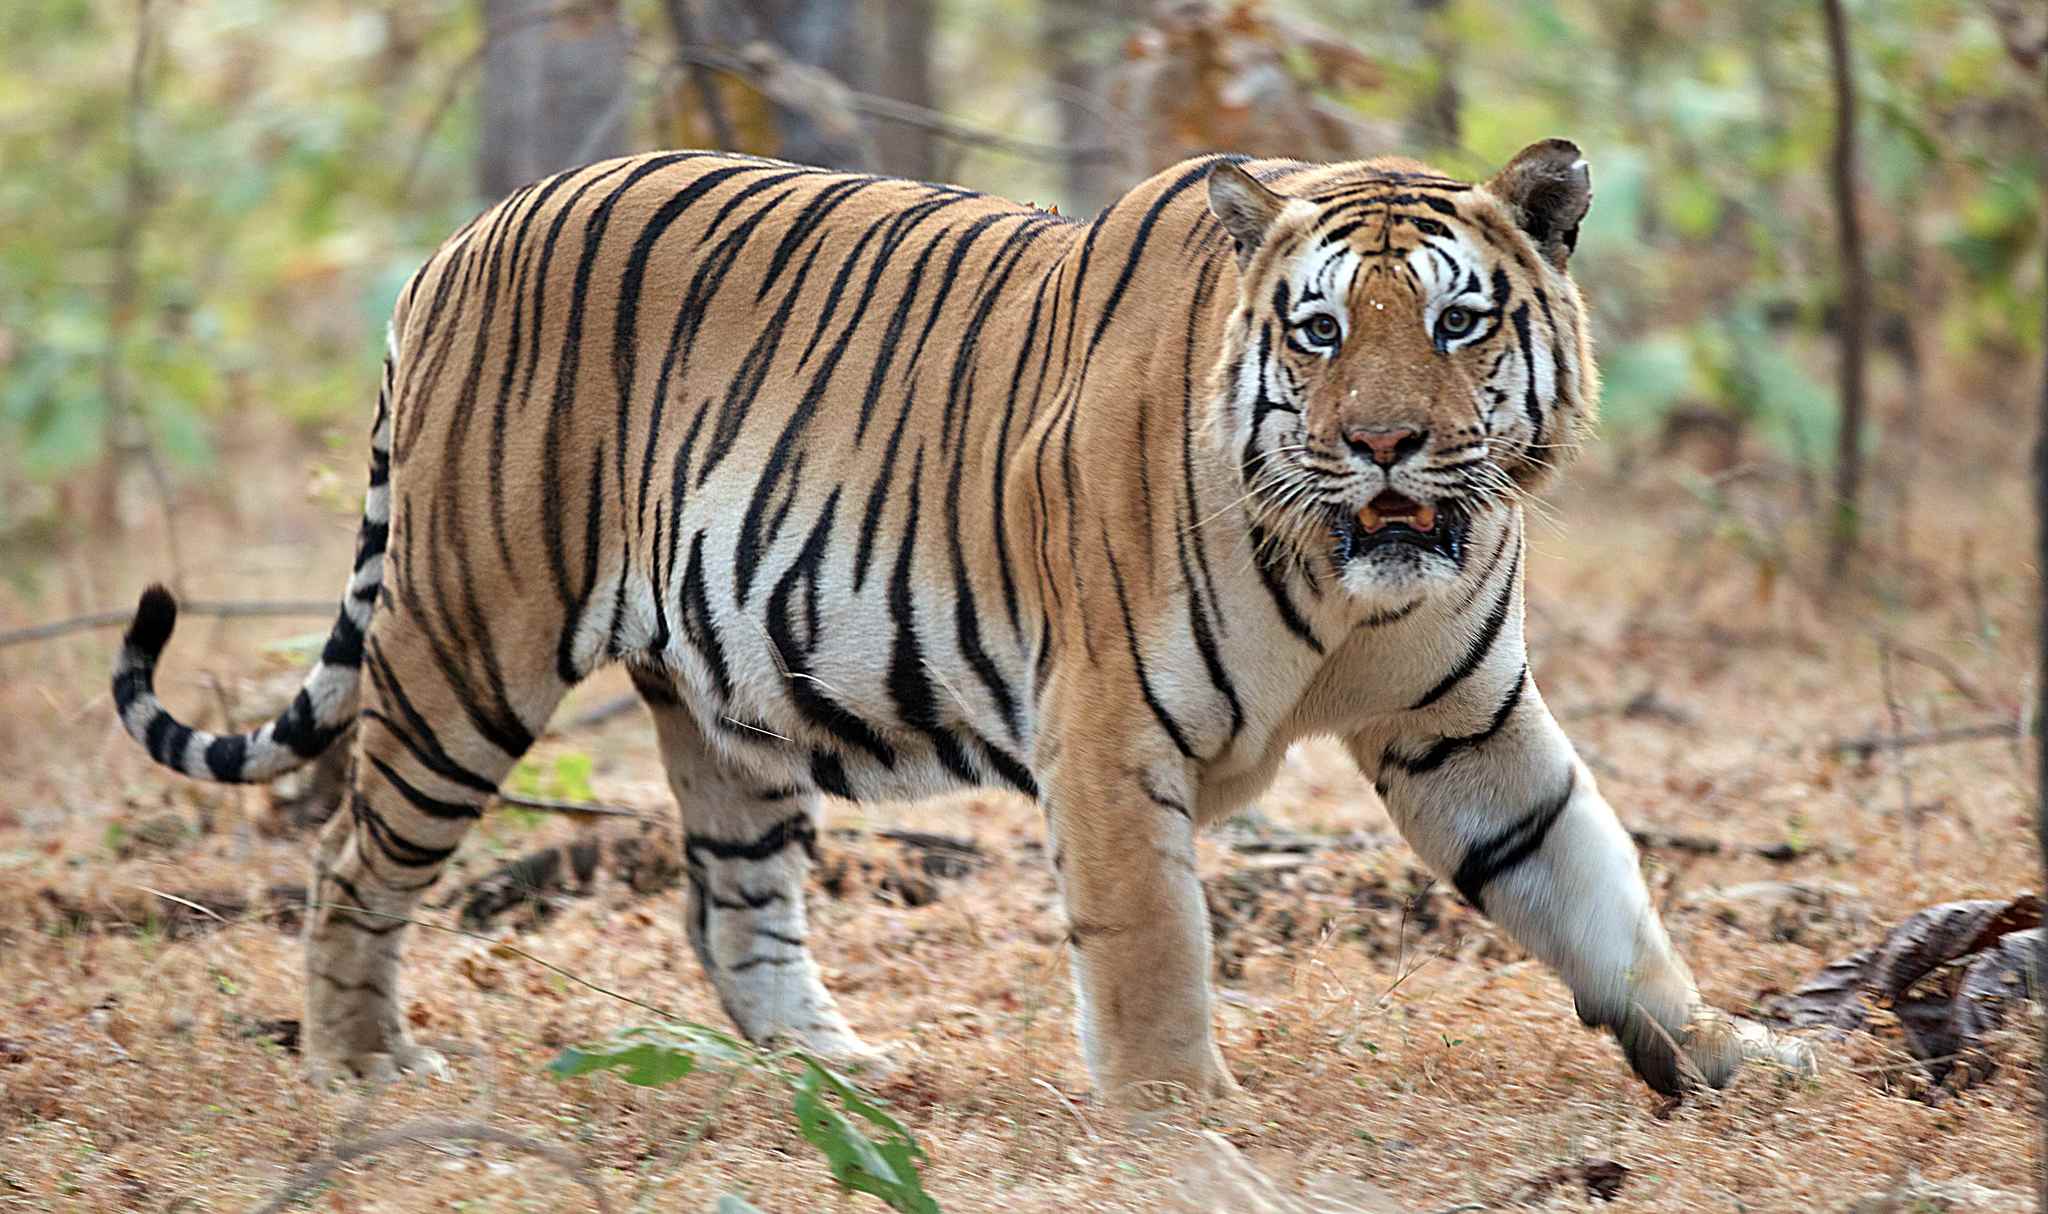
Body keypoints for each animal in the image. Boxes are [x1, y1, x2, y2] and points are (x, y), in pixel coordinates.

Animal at [111, 138, 1750, 1104]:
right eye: (1319, 329)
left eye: (1461, 323)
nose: (1390, 445)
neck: (1348, 589)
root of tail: (458, 240)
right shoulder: (1105, 726)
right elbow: (1149, 946)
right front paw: (1183, 1129)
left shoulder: (1464, 727)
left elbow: (1592, 885)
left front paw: (1744, 1051)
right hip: (467, 646)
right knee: (349, 862)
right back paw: (364, 1067)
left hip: (730, 704)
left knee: (732, 905)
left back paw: (841, 1071)